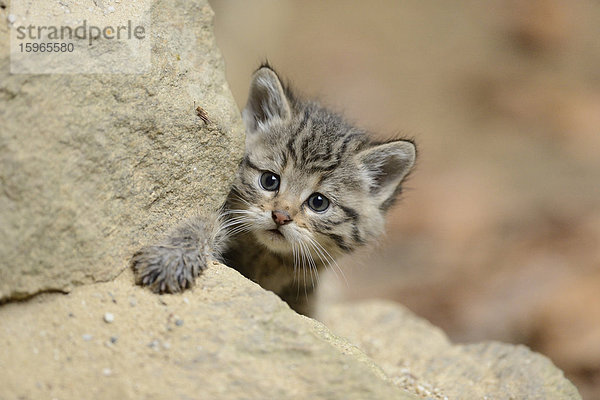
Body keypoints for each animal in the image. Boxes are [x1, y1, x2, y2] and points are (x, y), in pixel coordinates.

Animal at [131, 65, 414, 316]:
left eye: (318, 202)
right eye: (270, 180)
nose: (280, 216)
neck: (267, 259)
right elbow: (205, 221)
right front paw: (173, 256)